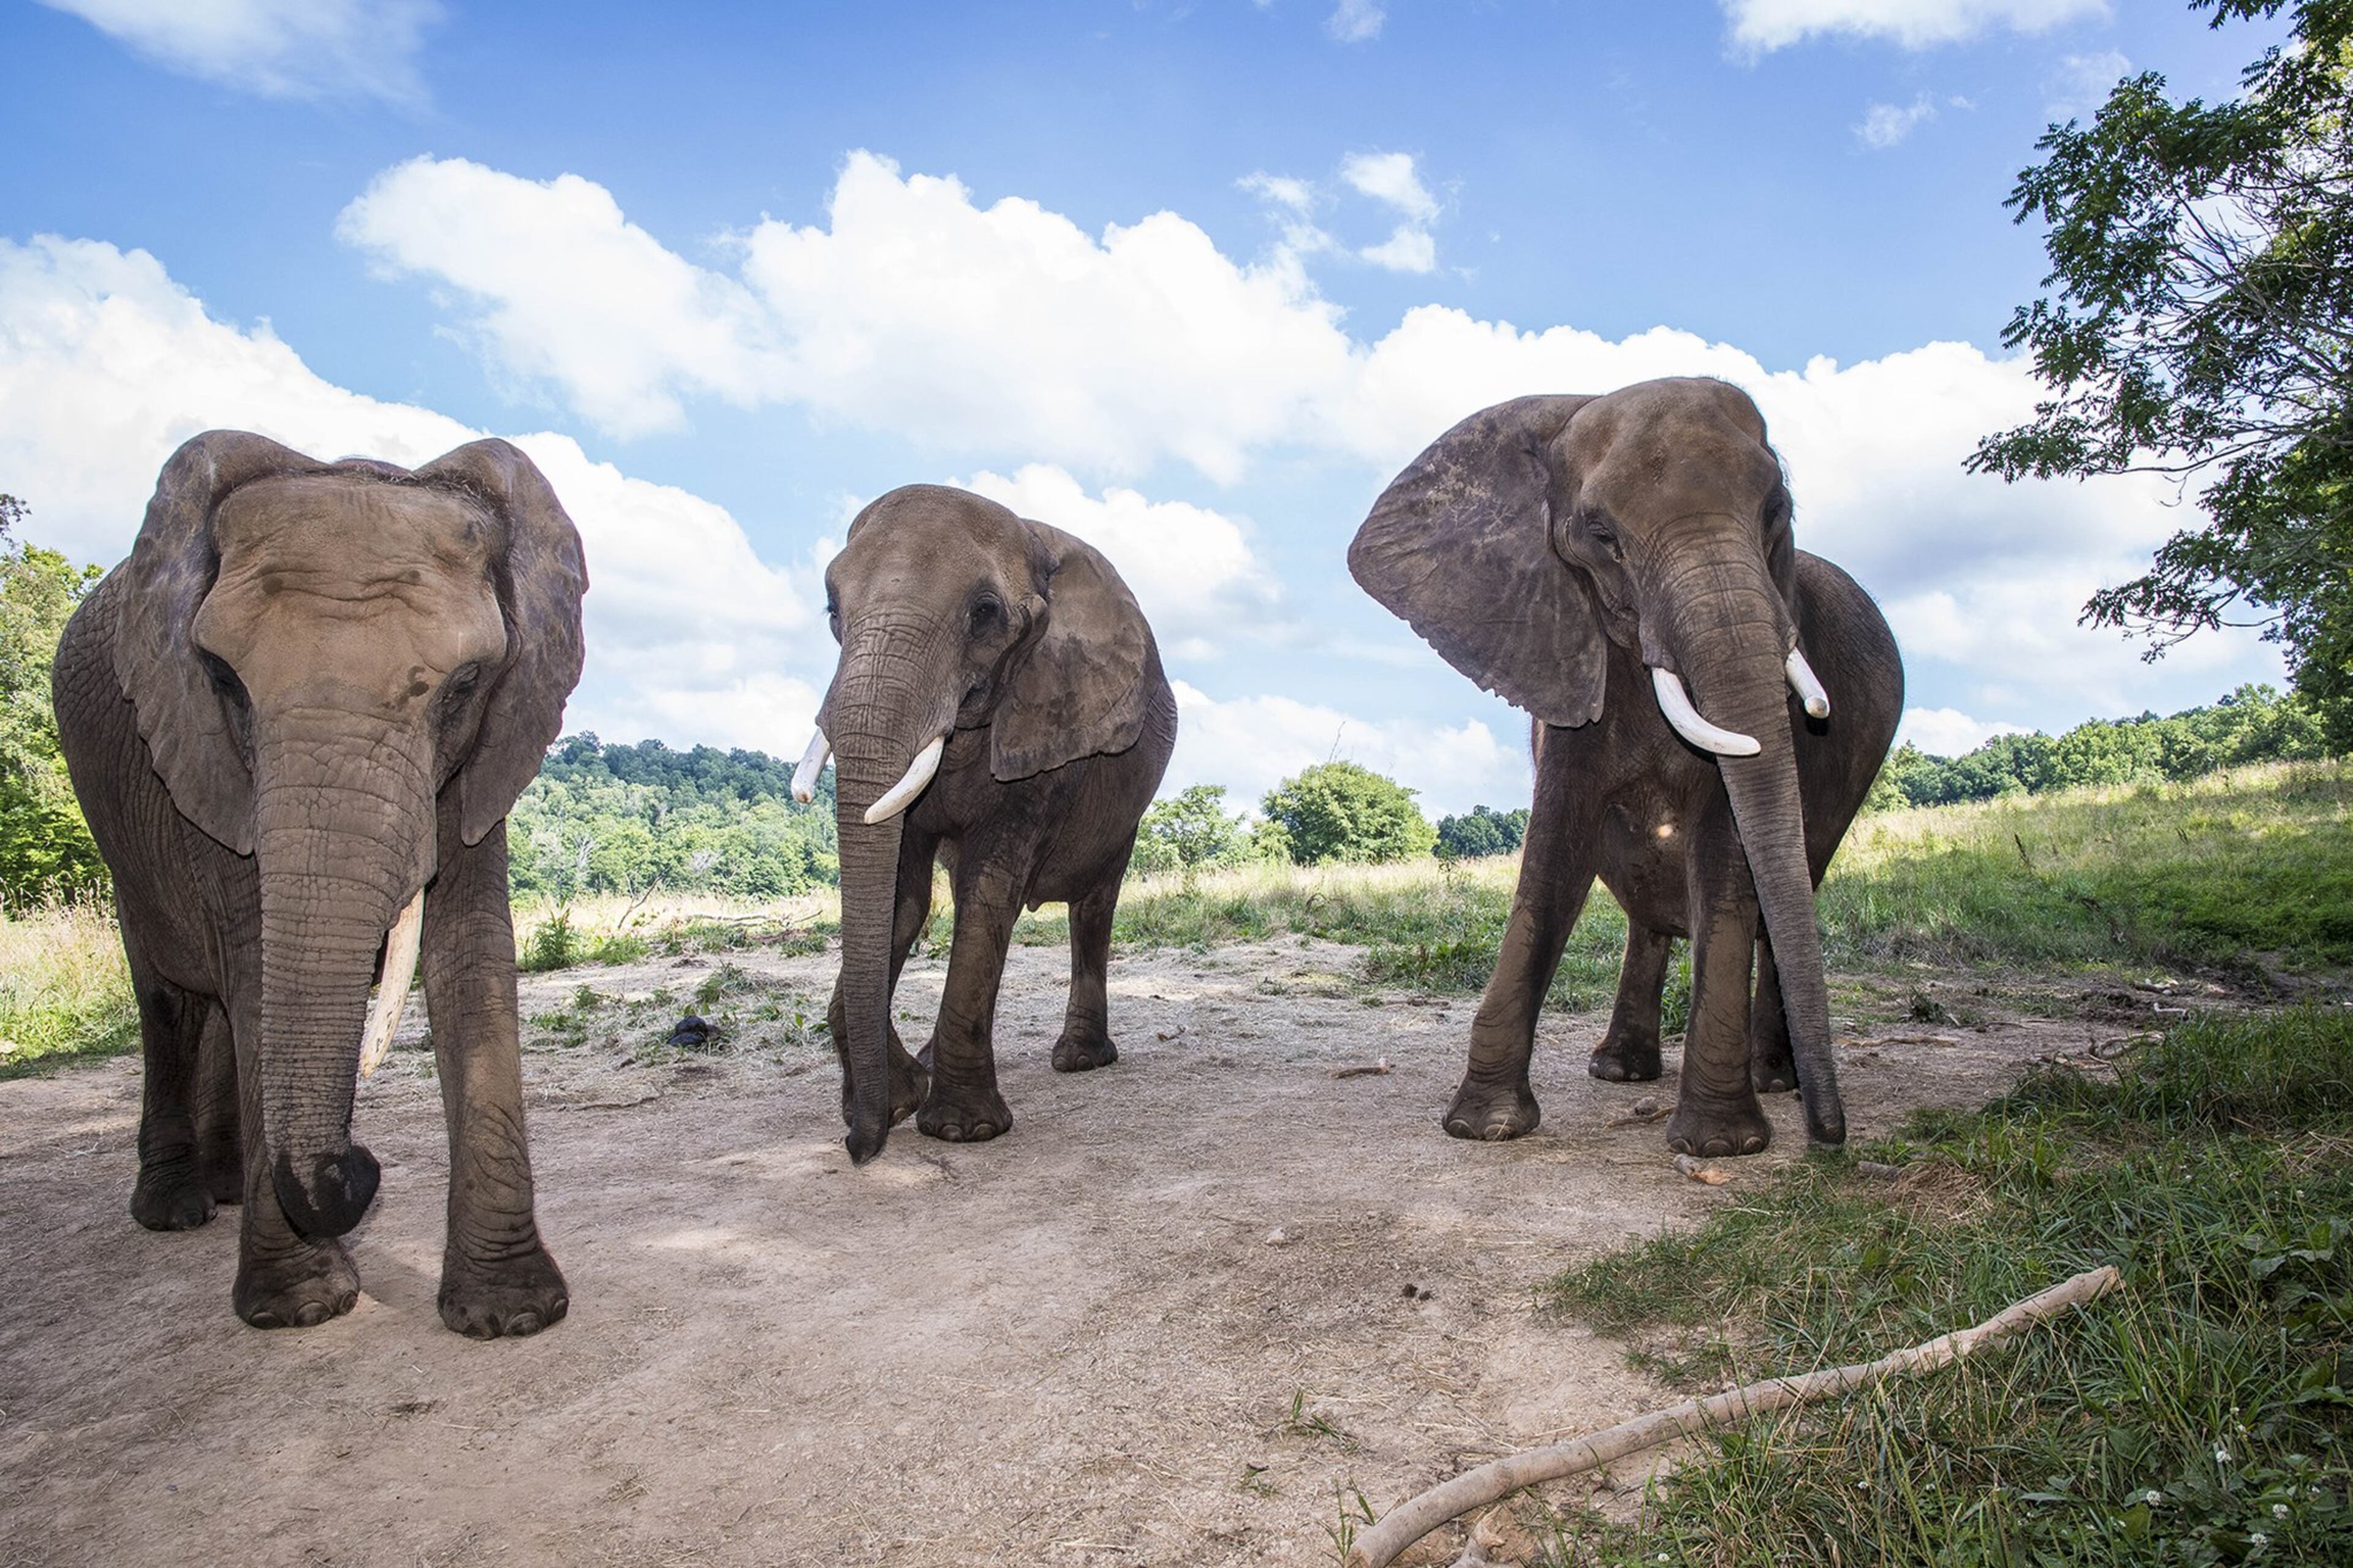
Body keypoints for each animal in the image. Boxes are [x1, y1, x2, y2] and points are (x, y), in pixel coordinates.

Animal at [52, 430, 585, 1334]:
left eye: (465, 684)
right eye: (223, 679)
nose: (358, 1166)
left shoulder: (486, 750)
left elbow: (472, 953)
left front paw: (512, 1315)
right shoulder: (205, 755)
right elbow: (260, 955)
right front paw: (301, 1308)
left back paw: (229, 1186)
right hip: (120, 827)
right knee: (172, 998)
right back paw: (177, 1208)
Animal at [791, 484, 1177, 1164]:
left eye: (986, 613)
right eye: (833, 608)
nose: (859, 1148)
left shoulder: (1051, 721)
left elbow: (987, 892)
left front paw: (960, 1129)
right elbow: (902, 898)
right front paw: (899, 1099)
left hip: (1125, 807)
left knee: (1094, 907)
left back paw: (1080, 1060)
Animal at [1349, 377, 1902, 1157]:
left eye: (1777, 510)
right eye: (1603, 539)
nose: (1833, 1138)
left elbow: (1728, 856)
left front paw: (1718, 1145)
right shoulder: (1564, 656)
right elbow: (1554, 856)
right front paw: (1484, 1128)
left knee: (1784, 892)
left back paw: (1772, 1080)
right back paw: (1622, 1071)